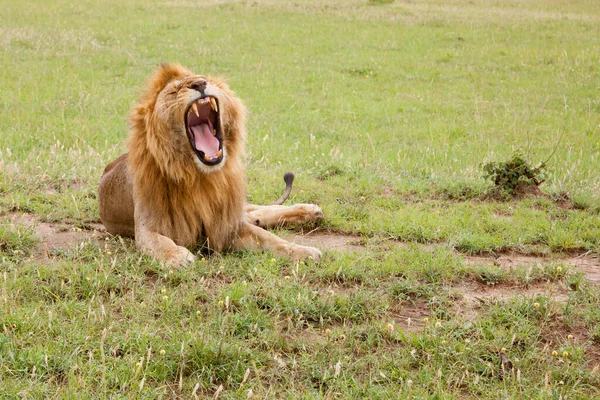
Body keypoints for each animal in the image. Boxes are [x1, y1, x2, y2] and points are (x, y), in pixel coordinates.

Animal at [98, 62, 324, 266]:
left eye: (206, 79)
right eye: (174, 91)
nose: (199, 84)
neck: (199, 176)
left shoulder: (225, 223)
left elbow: (270, 239)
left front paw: (303, 251)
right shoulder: (146, 226)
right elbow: (159, 241)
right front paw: (177, 257)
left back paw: (309, 210)